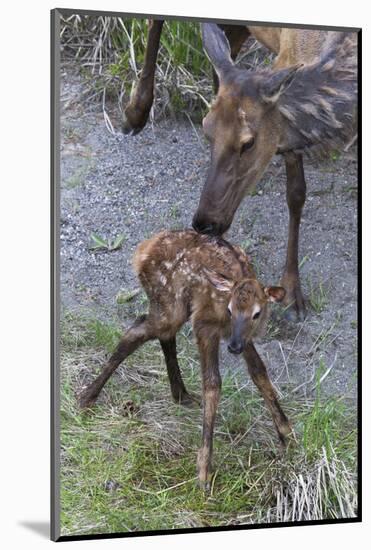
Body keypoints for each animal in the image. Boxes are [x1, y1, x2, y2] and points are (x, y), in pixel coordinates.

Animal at [80, 231, 292, 490]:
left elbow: (259, 372)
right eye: (230, 309)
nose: (233, 347)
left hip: (173, 307)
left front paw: (288, 435)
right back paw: (87, 397)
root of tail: (142, 250)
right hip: (169, 303)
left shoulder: (243, 338)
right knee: (137, 330)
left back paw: (180, 394)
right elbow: (212, 383)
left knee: (160, 334)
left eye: (257, 313)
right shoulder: (204, 324)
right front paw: (204, 470)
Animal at [121, 22, 358, 324]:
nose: (205, 223)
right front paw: (292, 290)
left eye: (248, 142)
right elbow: (296, 193)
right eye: (205, 128)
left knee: (227, 46)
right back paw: (135, 113)